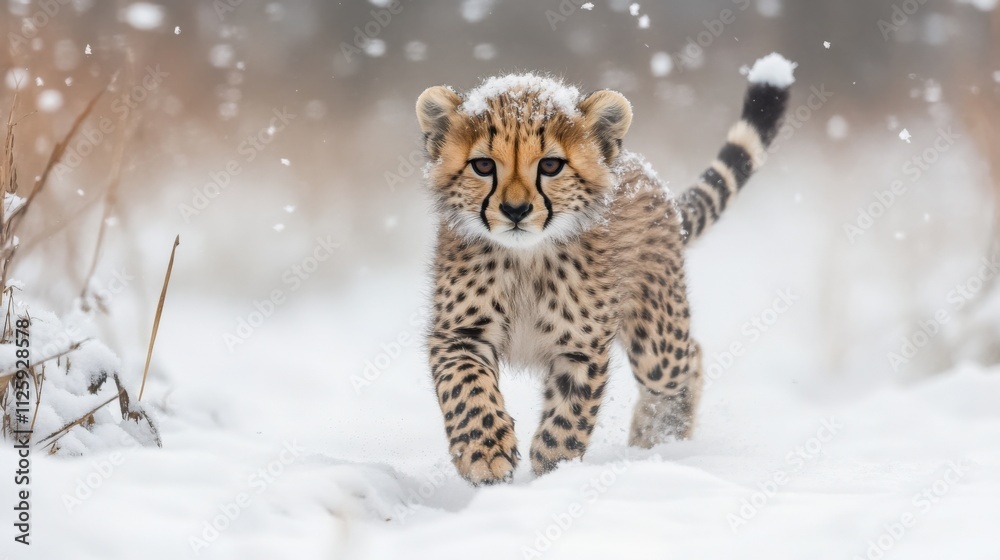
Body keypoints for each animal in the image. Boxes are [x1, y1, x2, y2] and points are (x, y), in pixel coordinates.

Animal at [416, 53, 795, 485]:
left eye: (550, 165)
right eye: (482, 165)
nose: (515, 210)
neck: (526, 258)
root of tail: (646, 172)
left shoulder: (582, 346)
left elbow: (569, 414)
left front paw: (555, 469)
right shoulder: (459, 334)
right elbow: (467, 391)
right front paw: (484, 451)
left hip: (657, 341)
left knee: (686, 362)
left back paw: (660, 435)